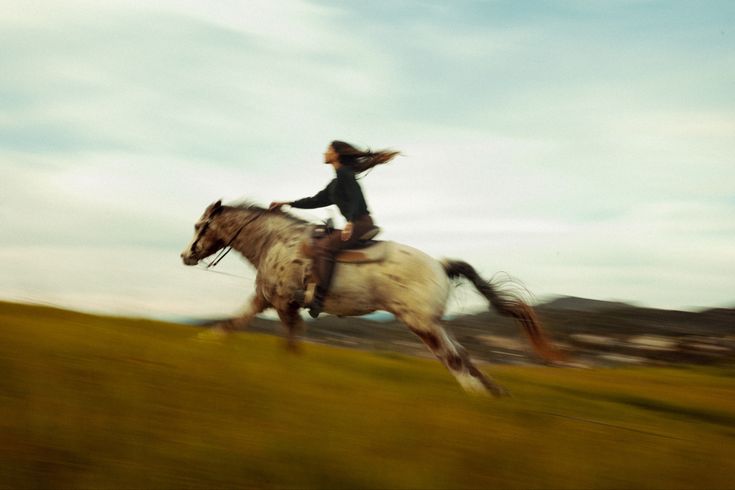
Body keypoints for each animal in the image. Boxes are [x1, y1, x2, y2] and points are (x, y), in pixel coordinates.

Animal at [181, 201, 560, 396]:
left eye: (200, 225)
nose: (186, 255)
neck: (277, 242)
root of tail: (440, 266)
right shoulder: (264, 300)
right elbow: (230, 324)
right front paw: (200, 345)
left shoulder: (285, 305)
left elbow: (289, 344)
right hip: (434, 324)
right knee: (463, 356)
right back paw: (492, 394)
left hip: (421, 325)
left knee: (453, 360)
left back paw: (478, 397)